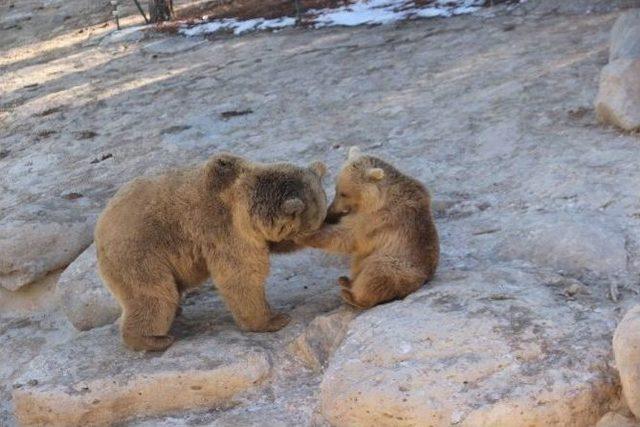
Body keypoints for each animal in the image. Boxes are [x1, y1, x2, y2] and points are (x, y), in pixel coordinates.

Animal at [95, 154, 328, 352]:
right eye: (308, 227)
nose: (317, 232)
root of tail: (100, 228)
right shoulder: (226, 230)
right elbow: (241, 276)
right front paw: (274, 319)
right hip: (140, 256)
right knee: (154, 295)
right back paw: (154, 339)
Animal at [298, 147, 438, 308]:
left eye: (344, 193)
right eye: (336, 188)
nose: (330, 212)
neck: (377, 199)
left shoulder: (379, 218)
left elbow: (349, 236)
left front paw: (304, 235)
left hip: (397, 262)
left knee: (377, 274)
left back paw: (352, 295)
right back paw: (346, 281)